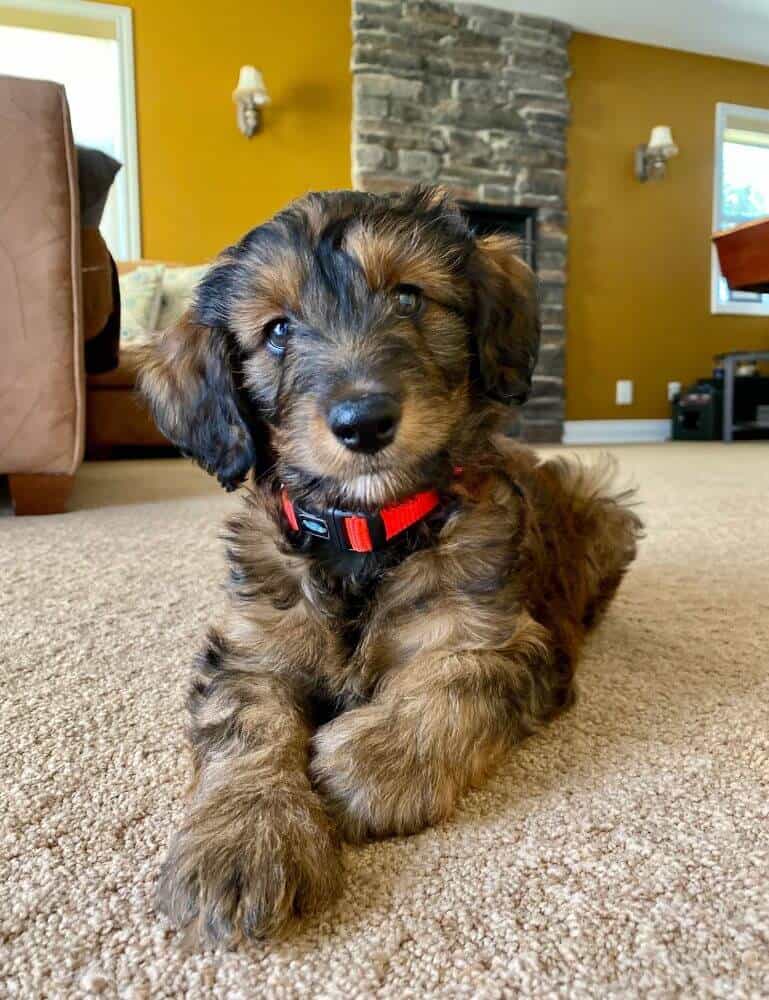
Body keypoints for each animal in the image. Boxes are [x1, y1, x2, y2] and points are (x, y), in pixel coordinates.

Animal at [138, 186, 640, 944]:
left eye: (408, 297)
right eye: (277, 331)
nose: (363, 421)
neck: (365, 534)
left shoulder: (501, 634)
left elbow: (455, 684)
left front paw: (365, 764)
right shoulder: (251, 648)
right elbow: (245, 723)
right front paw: (245, 837)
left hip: (603, 513)